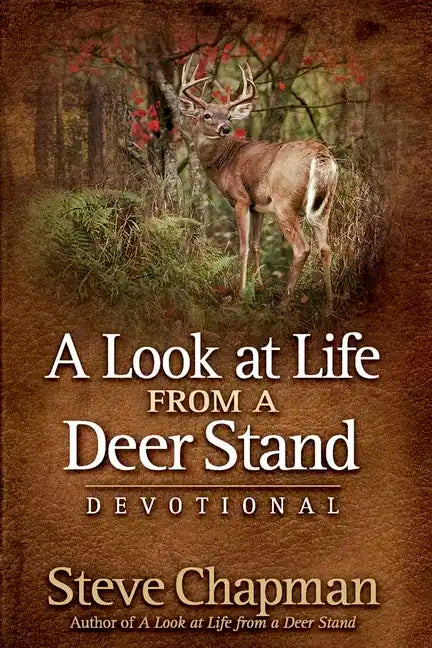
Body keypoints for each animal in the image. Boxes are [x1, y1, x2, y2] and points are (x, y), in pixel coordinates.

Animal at [178, 57, 338, 310]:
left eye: (229, 116)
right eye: (207, 115)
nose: (226, 128)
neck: (225, 161)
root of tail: (320, 154)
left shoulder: (241, 199)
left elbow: (243, 246)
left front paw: (241, 292)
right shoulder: (258, 206)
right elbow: (256, 243)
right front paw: (259, 286)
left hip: (285, 202)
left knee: (302, 248)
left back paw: (285, 302)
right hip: (325, 202)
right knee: (325, 247)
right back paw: (328, 306)